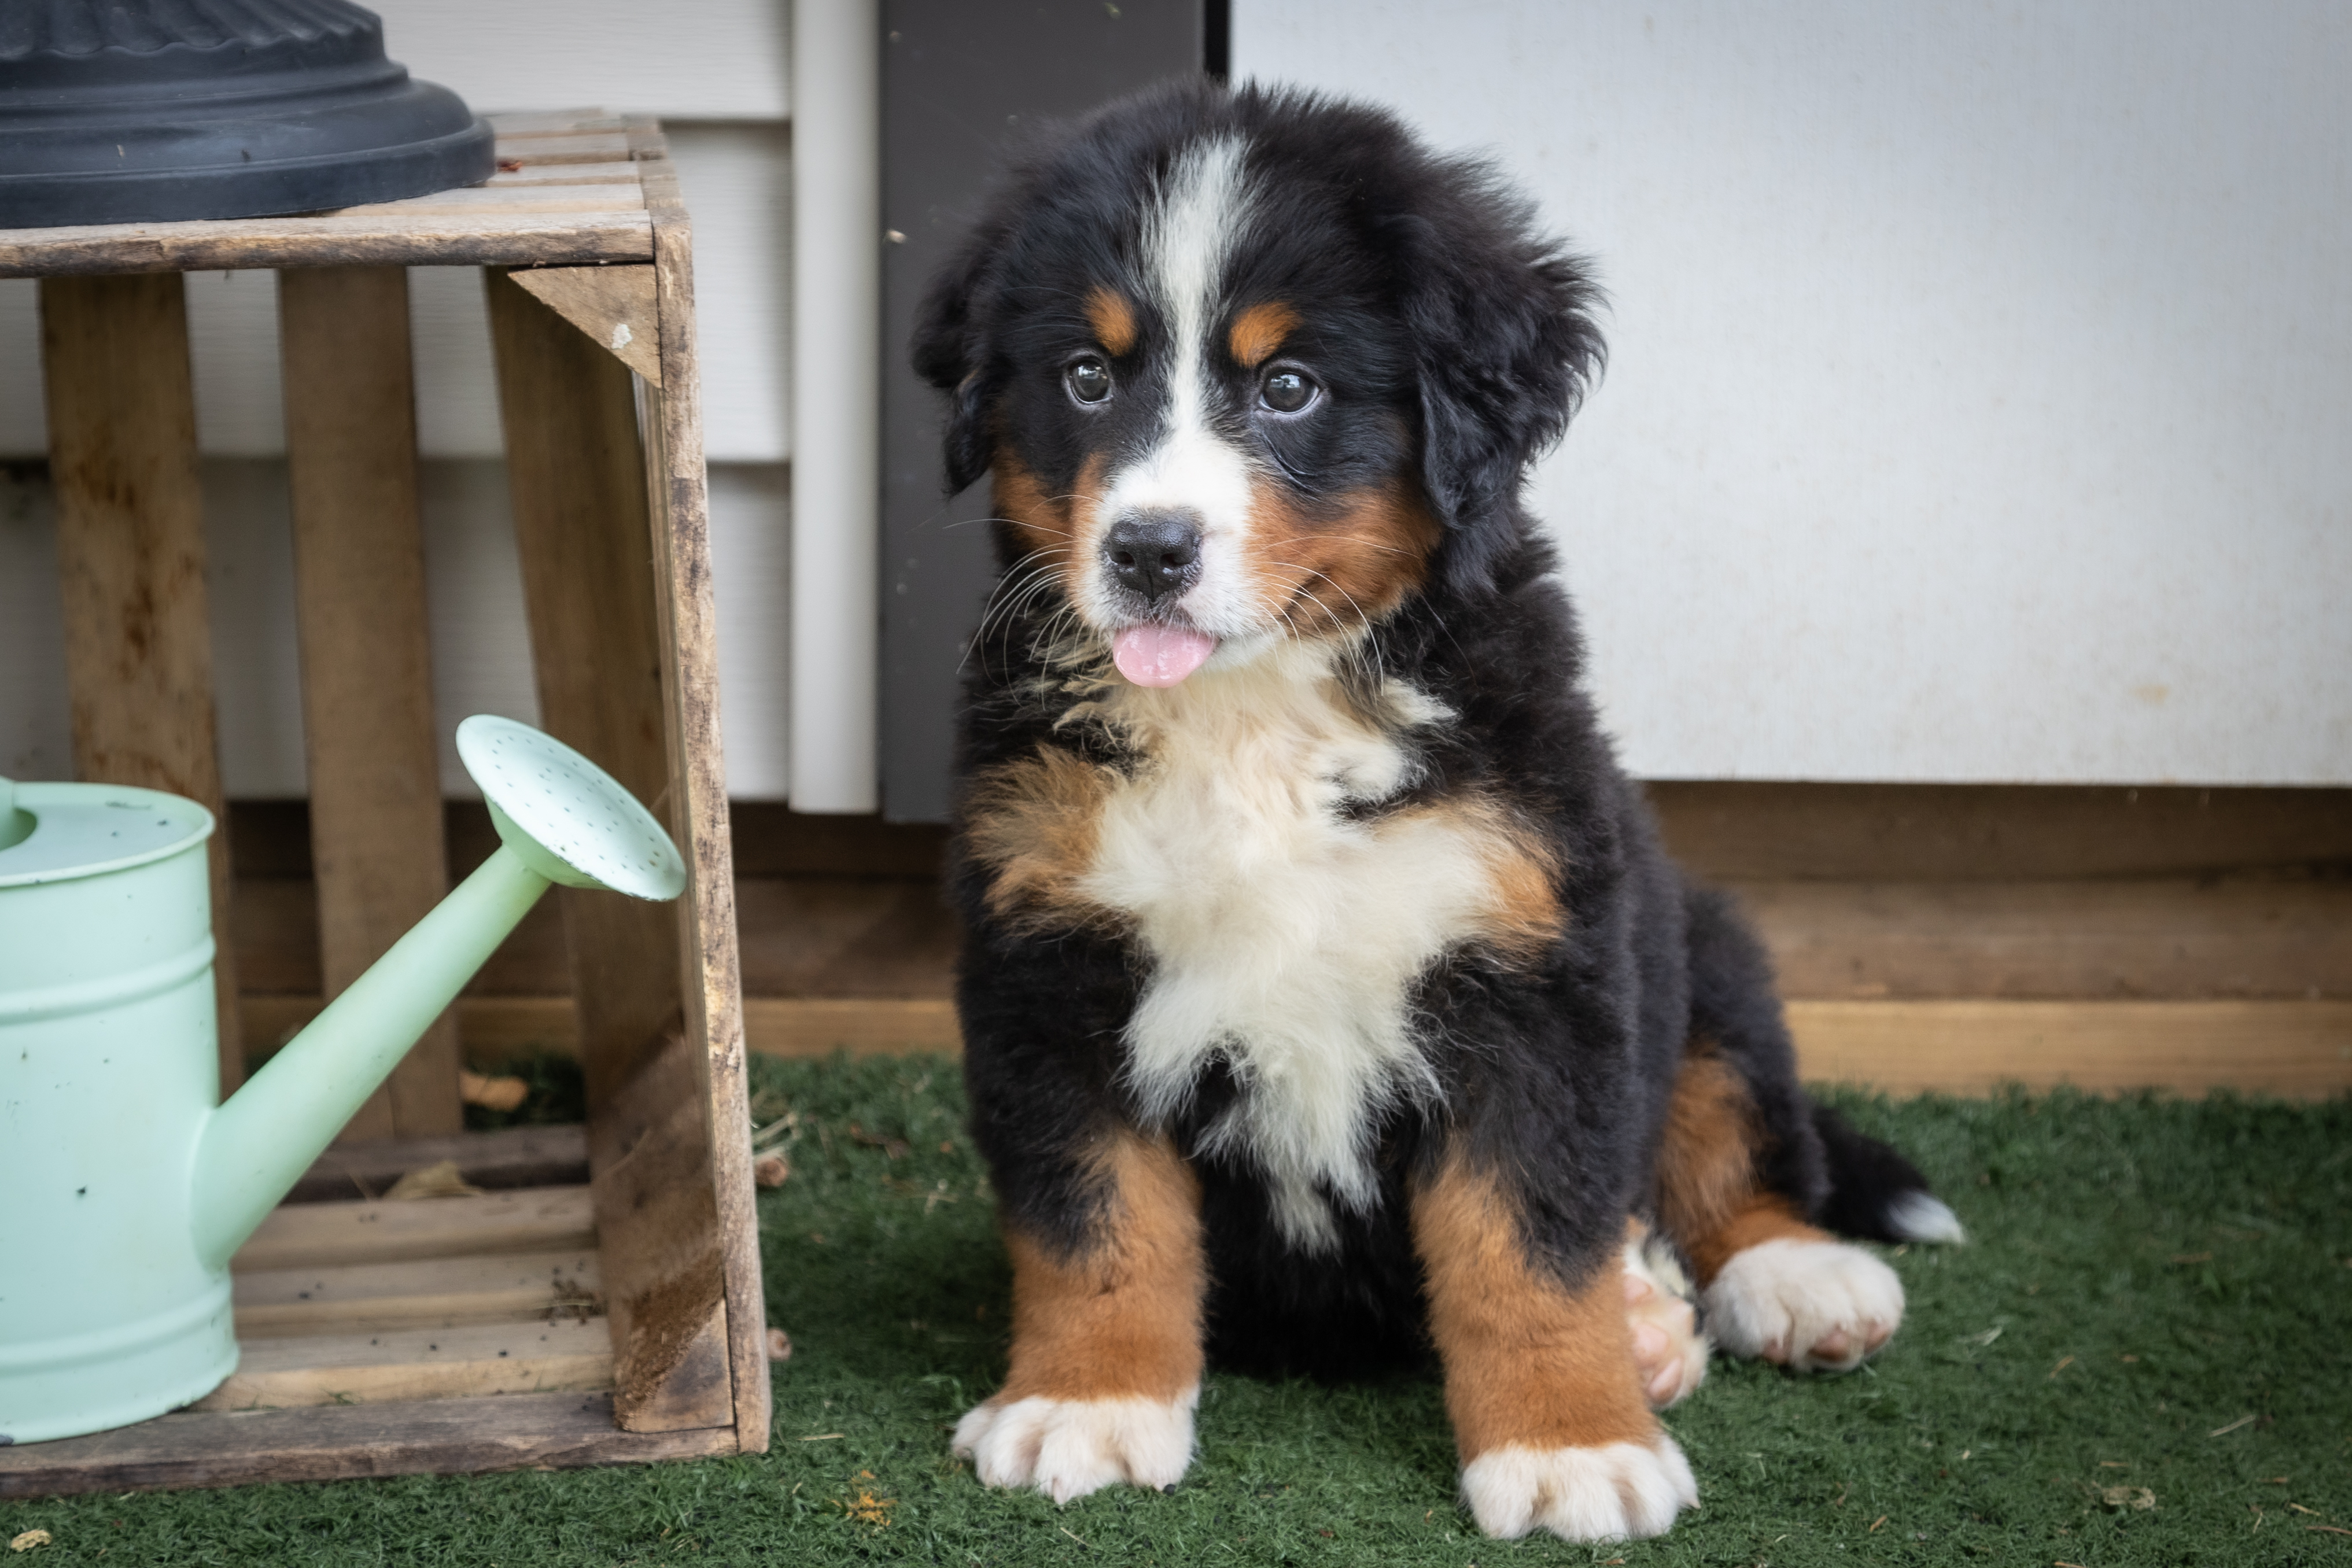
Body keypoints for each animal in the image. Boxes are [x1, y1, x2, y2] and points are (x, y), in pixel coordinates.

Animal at [917, 80, 1966, 1542]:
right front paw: (1086, 1399)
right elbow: (1094, 1215)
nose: (1145, 550)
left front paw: (1571, 1441)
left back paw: (1772, 1282)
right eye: (1083, 377)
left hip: (1695, 935)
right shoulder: (1045, 961)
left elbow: (1525, 1236)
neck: (1255, 716)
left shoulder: (1531, 961)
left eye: (1287, 387)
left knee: (1733, 1127)